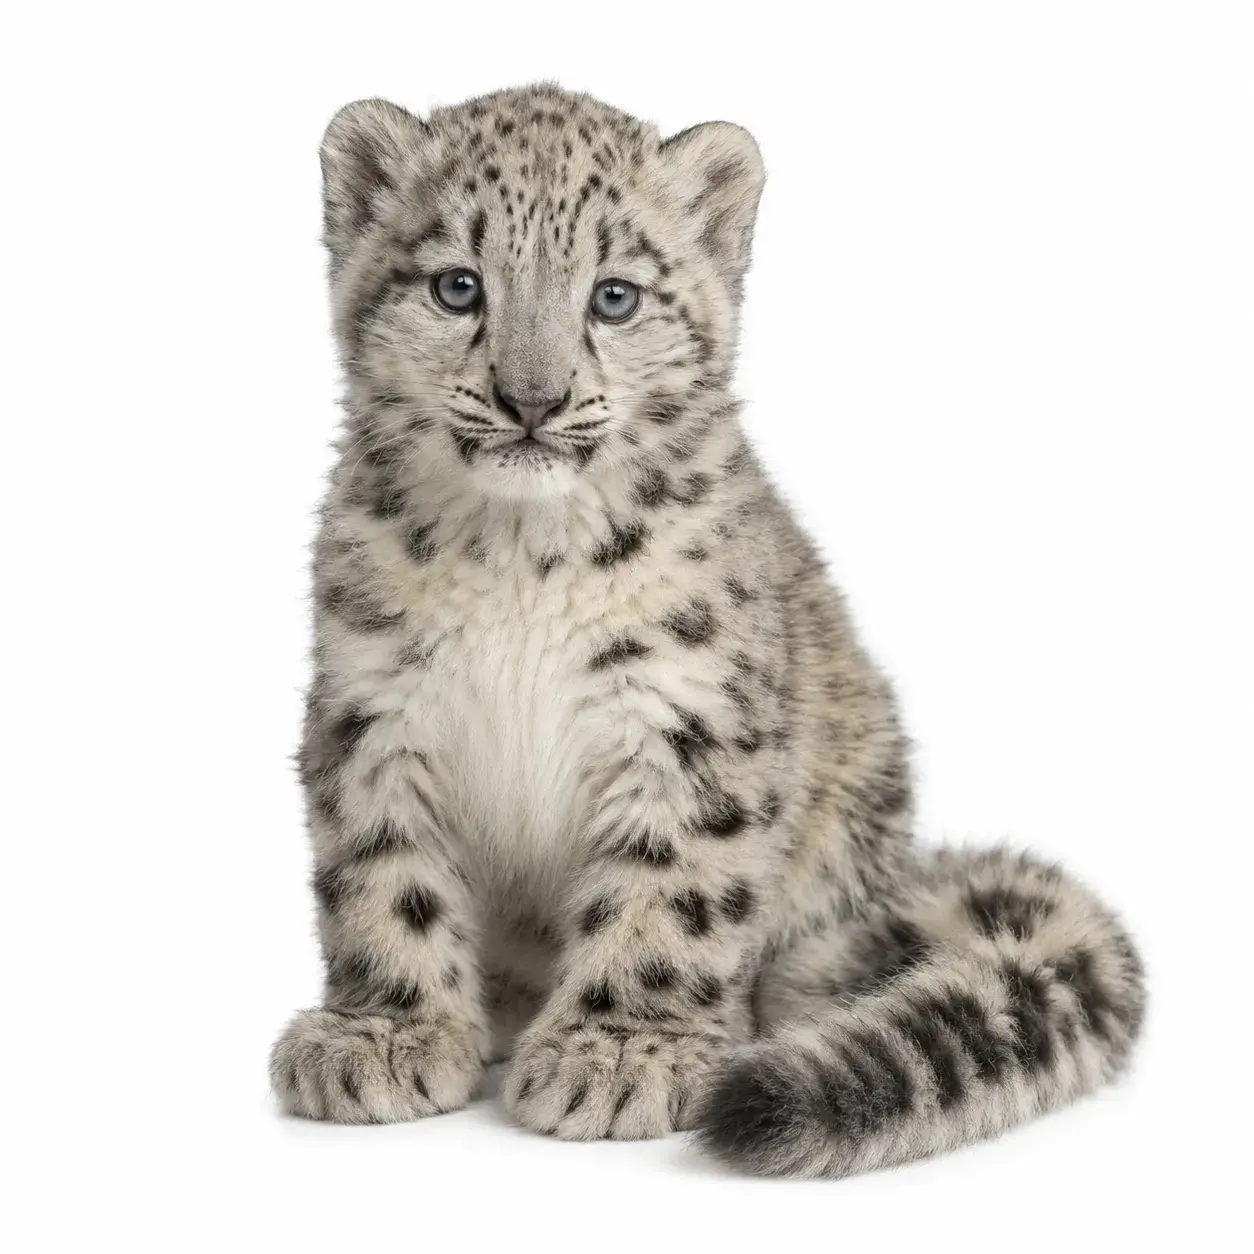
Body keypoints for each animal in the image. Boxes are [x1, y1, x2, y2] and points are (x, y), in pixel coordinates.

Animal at [268, 83, 1145, 1177]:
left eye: (614, 296)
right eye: (458, 287)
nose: (531, 399)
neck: (518, 557)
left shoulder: (687, 720)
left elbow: (666, 887)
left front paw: (619, 1052)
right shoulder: (375, 705)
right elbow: (385, 876)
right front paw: (383, 1034)